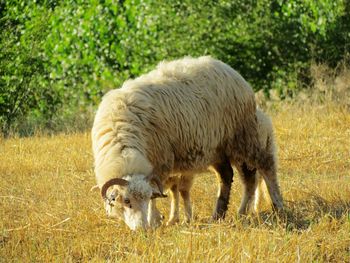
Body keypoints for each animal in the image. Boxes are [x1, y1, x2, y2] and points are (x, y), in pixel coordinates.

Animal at [91, 56, 284, 231]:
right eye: (126, 200)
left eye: (143, 199)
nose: (141, 229)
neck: (122, 141)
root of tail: (231, 70)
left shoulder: (161, 163)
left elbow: (160, 194)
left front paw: (154, 220)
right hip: (218, 150)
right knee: (230, 177)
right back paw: (223, 214)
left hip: (245, 137)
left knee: (265, 168)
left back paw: (276, 206)